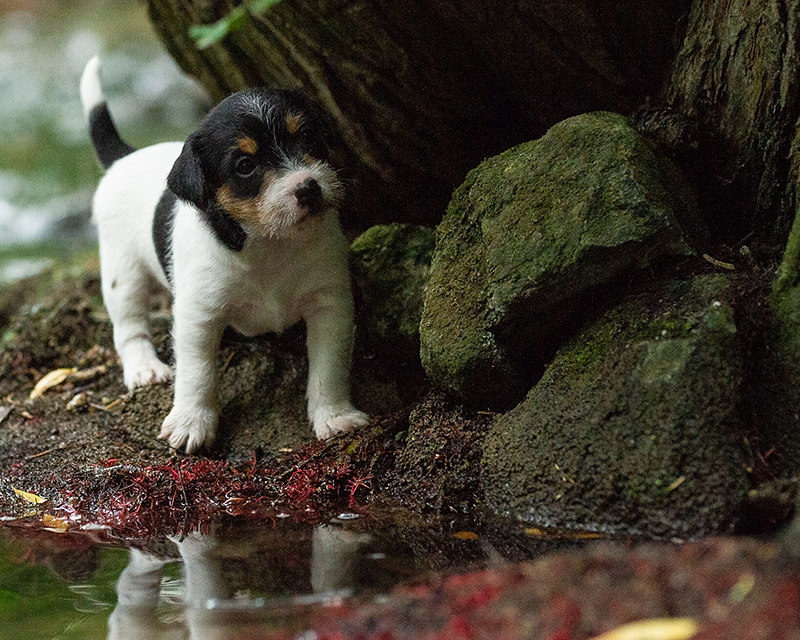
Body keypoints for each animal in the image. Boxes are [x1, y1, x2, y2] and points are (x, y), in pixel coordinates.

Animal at [81, 57, 368, 452]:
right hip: (123, 273)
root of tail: (124, 157)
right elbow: (197, 373)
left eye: (308, 137)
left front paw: (335, 415)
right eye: (245, 166)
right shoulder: (198, 315)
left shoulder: (330, 304)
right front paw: (191, 422)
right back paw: (144, 368)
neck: (270, 242)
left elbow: (329, 366)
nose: (308, 187)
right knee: (129, 326)